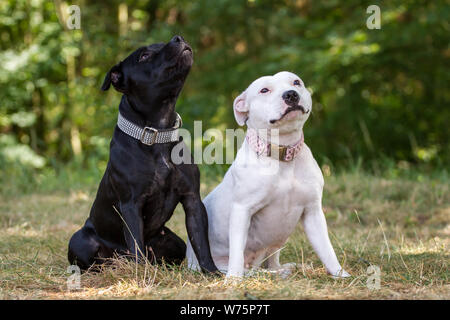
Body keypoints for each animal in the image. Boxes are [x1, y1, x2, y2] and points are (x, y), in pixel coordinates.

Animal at [67, 36, 220, 274]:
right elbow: (136, 244)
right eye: (144, 56)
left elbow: (201, 243)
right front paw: (142, 275)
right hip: (80, 240)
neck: (157, 134)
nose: (178, 38)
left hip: (174, 242)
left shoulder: (192, 199)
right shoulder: (131, 204)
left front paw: (212, 272)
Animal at [185, 71, 348, 278]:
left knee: (272, 261)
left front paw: (340, 273)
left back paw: (284, 269)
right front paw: (233, 279)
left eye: (296, 82)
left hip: (276, 243)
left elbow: (326, 248)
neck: (282, 154)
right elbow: (237, 251)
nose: (291, 94)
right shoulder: (242, 210)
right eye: (264, 90)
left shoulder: (313, 213)